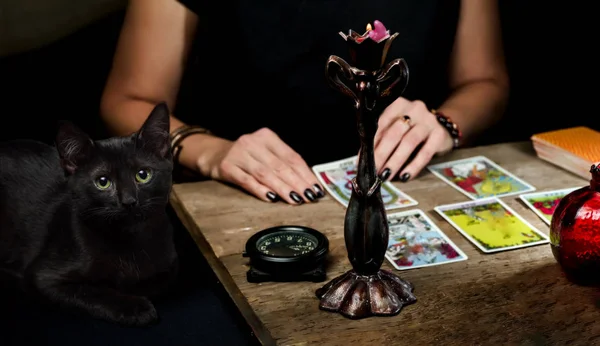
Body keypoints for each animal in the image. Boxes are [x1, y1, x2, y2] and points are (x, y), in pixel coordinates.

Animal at [0, 102, 177, 328]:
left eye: (143, 175)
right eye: (102, 182)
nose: (129, 201)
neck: (128, 240)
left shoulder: (169, 266)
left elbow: (157, 282)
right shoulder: (42, 277)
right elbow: (93, 291)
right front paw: (136, 307)